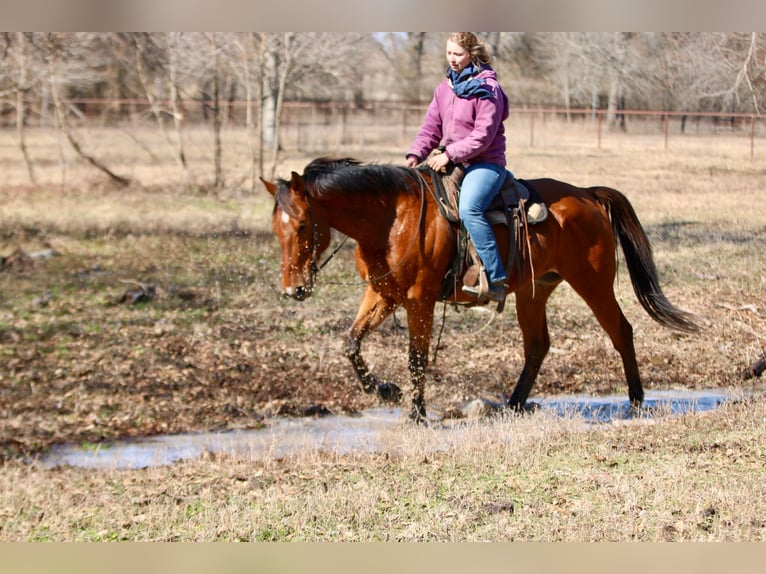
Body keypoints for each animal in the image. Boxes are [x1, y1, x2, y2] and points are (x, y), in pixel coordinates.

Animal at [262, 157, 698, 422]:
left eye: (302, 225)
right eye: (275, 228)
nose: (292, 289)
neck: (391, 218)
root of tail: (588, 195)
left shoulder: (419, 299)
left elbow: (416, 358)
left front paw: (416, 413)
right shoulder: (382, 295)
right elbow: (350, 343)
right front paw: (386, 391)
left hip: (593, 282)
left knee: (620, 331)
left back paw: (636, 401)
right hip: (535, 291)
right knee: (537, 345)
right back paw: (514, 404)